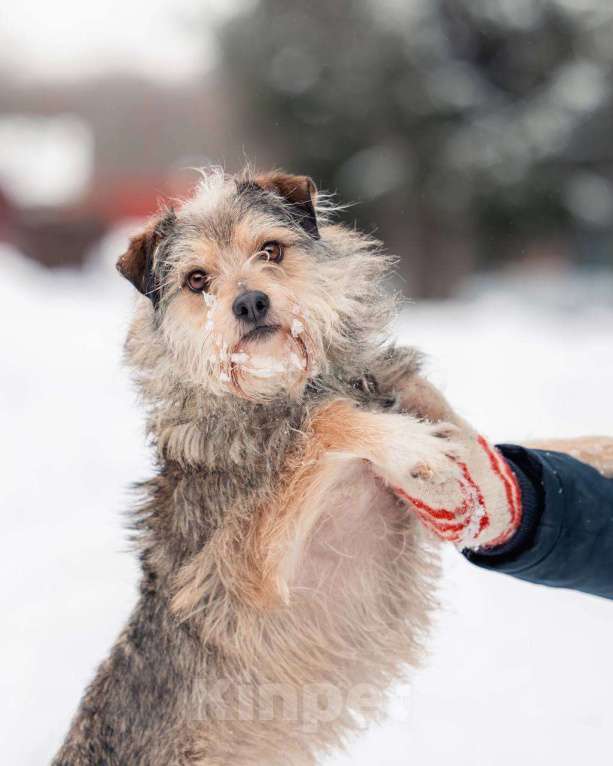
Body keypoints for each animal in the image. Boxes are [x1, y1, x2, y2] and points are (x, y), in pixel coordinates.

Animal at [53, 170, 478, 766]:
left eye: (270, 250)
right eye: (197, 279)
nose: (251, 302)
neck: (278, 388)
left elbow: (430, 402)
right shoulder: (247, 570)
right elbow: (321, 426)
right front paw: (403, 441)